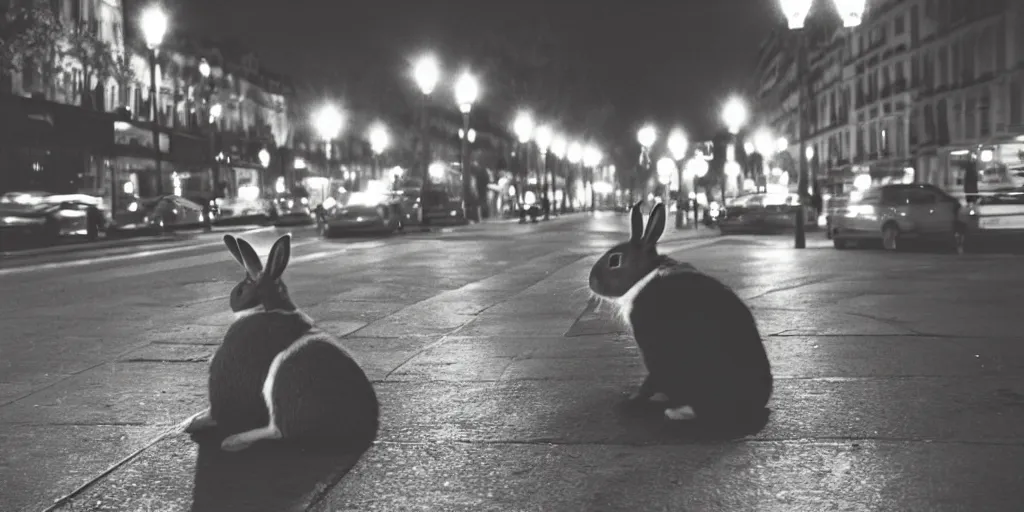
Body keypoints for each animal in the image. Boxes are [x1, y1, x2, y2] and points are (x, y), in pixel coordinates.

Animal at [185, 233, 380, 452]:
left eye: (241, 290)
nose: (232, 300)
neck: (269, 307)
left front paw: (197, 422)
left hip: (283, 383)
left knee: (277, 431)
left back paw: (233, 441)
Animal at [589, 199, 770, 423]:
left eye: (614, 261)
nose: (591, 281)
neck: (644, 274)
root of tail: (751, 406)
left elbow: (652, 378)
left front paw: (633, 400)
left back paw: (675, 411)